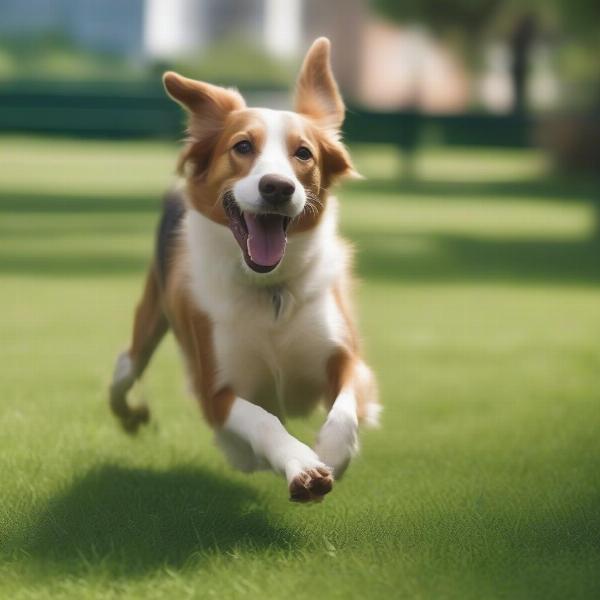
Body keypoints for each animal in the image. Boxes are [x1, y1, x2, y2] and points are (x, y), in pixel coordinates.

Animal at [110, 38, 378, 502]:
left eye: (303, 153)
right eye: (242, 147)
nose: (277, 187)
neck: (270, 291)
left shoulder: (347, 359)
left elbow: (346, 405)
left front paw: (331, 451)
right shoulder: (215, 390)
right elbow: (262, 420)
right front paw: (301, 465)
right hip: (150, 319)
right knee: (126, 368)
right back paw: (132, 412)